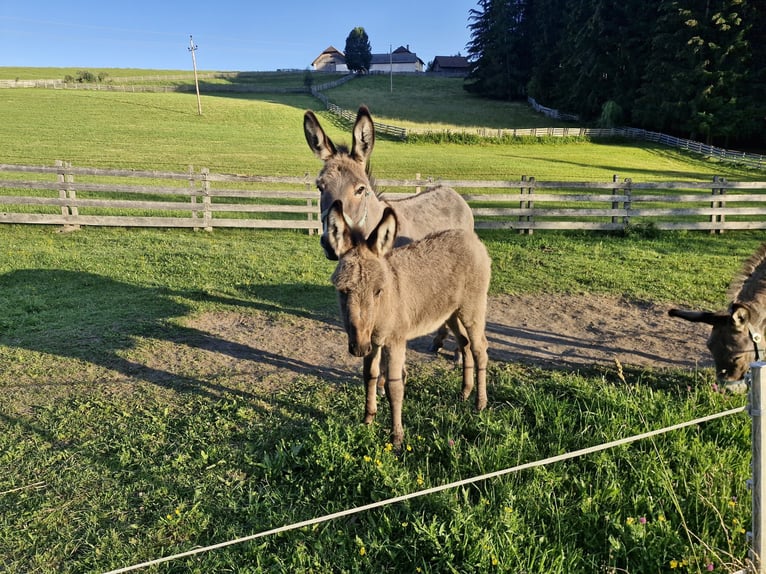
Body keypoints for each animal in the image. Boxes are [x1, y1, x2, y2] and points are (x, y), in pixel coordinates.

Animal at [327, 200, 491, 447]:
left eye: (378, 291)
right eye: (343, 291)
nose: (358, 348)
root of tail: (472, 239)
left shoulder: (395, 340)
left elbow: (394, 386)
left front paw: (396, 438)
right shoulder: (372, 341)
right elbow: (369, 375)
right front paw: (368, 419)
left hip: (472, 309)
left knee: (480, 348)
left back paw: (480, 404)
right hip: (451, 313)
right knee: (465, 344)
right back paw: (464, 392)